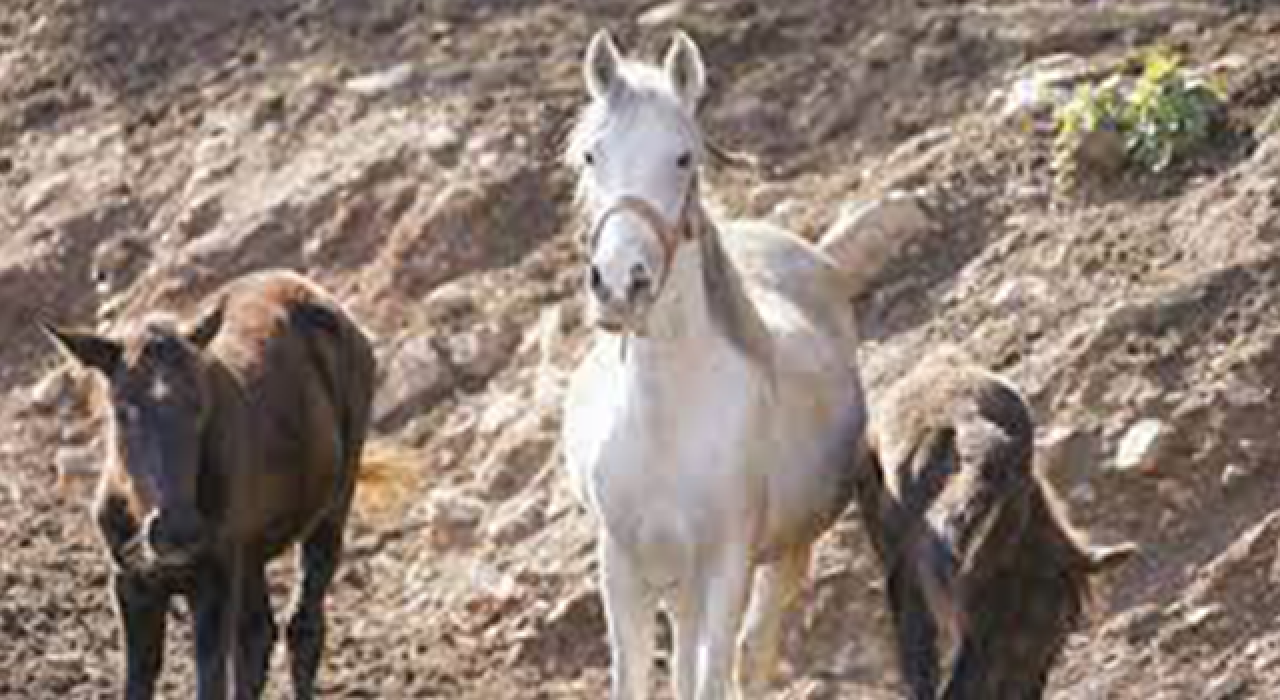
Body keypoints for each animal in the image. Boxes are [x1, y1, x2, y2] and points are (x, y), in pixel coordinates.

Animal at [46, 270, 404, 700]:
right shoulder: (131, 583)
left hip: (330, 511)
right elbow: (139, 680)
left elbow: (211, 680)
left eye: (200, 404)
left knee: (303, 626)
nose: (178, 531)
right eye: (122, 409)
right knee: (258, 635)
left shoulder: (213, 582)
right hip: (251, 556)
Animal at [565, 30, 875, 696]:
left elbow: (717, 673)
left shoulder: (726, 567)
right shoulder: (623, 567)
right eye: (591, 156)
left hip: (781, 556)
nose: (619, 286)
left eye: (684, 157)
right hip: (675, 578)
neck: (665, 420)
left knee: (752, 656)